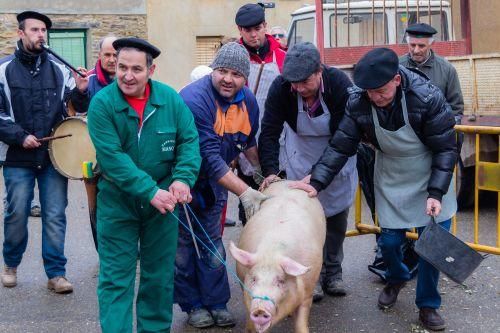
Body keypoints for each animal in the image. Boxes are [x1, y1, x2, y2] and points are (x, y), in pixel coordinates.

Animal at [229, 180, 326, 330]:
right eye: (254, 279)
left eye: (280, 281)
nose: (260, 310)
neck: (272, 253)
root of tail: (287, 180)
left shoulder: (307, 292)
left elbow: (301, 322)